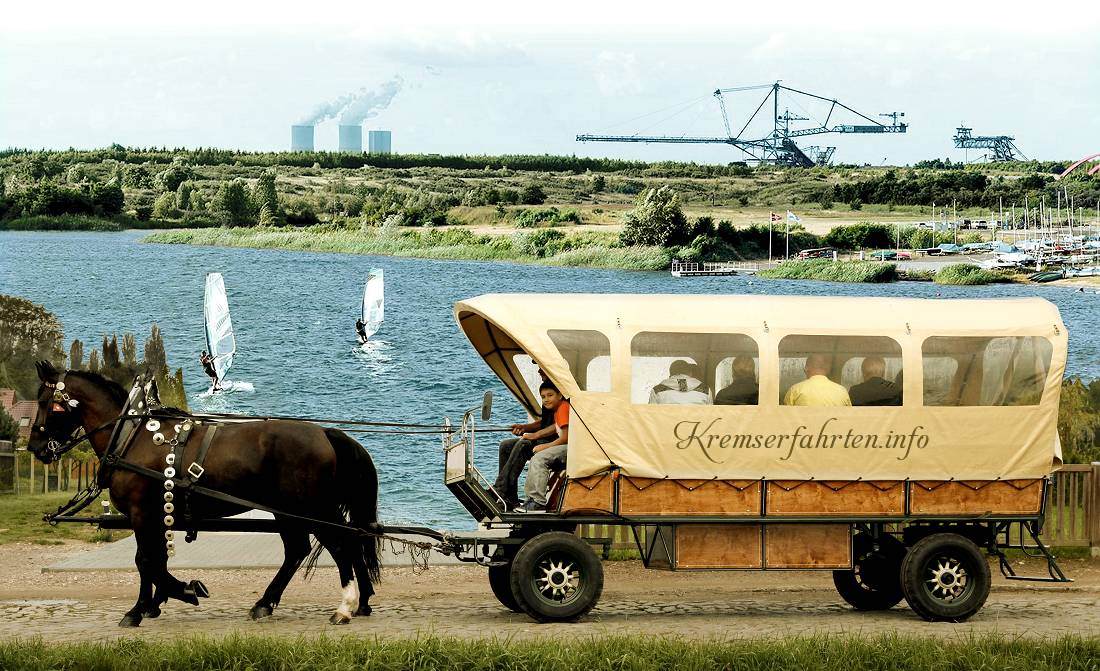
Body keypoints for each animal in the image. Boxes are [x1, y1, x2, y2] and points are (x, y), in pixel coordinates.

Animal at [25, 360, 382, 624]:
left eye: (46, 403)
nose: (35, 447)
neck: (131, 437)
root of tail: (325, 433)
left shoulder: (141, 512)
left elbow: (145, 559)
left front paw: (169, 596)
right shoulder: (156, 514)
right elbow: (154, 558)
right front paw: (155, 602)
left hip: (310, 507)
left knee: (339, 544)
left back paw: (345, 605)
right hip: (289, 510)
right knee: (302, 550)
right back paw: (269, 603)